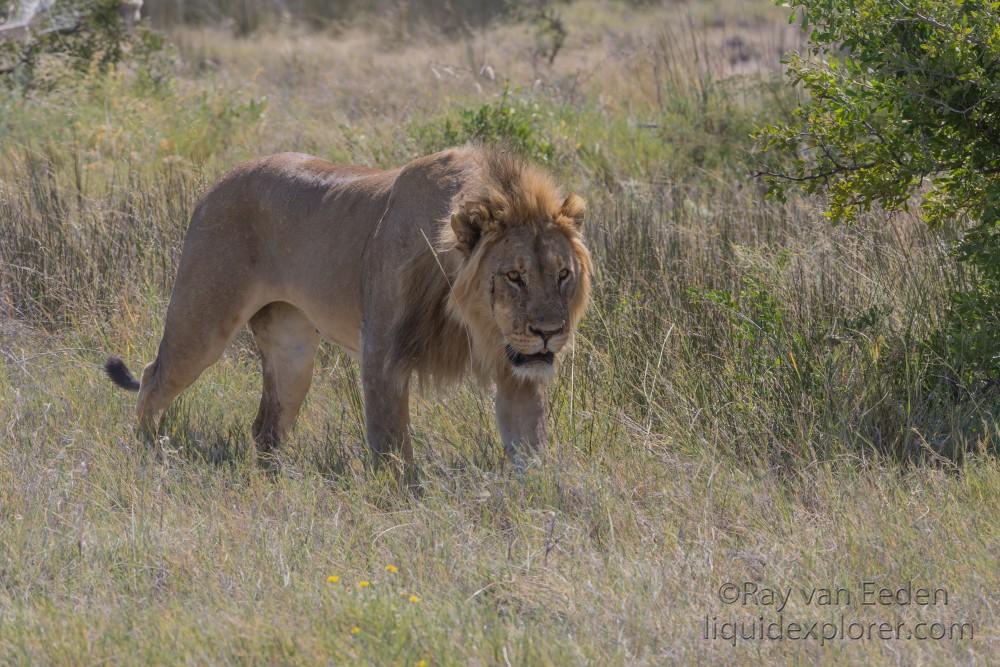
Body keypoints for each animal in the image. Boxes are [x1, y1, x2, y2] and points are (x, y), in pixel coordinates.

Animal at [107, 147, 592, 468]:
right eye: (514, 276)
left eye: (562, 275)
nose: (550, 332)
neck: (473, 321)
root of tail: (217, 183)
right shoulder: (382, 352)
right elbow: (391, 444)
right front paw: (403, 502)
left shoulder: (517, 371)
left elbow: (528, 445)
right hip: (202, 321)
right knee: (154, 377)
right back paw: (148, 451)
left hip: (292, 352)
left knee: (266, 425)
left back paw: (274, 478)